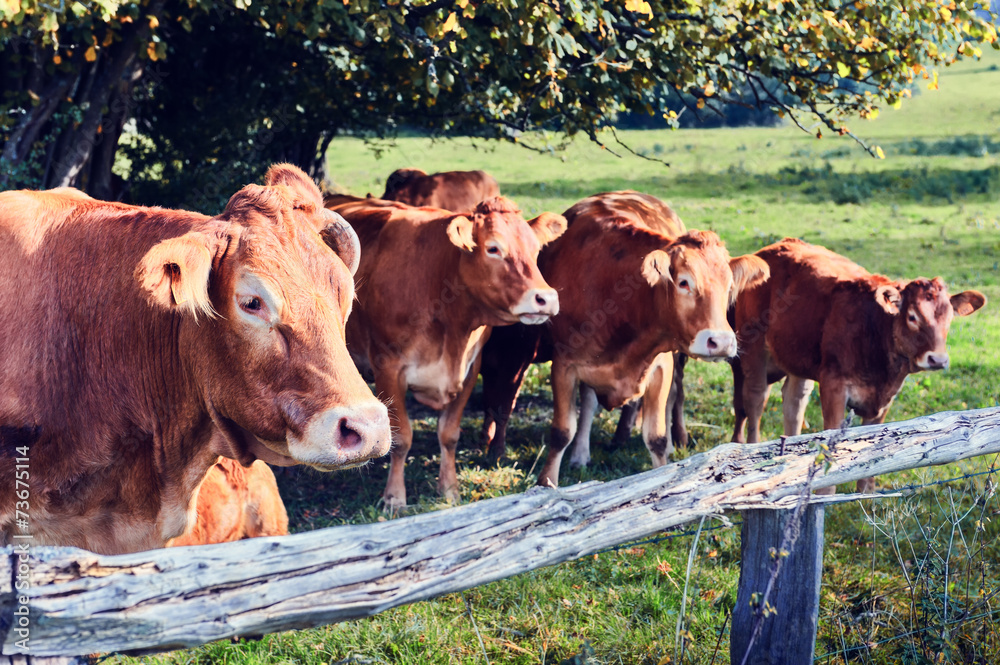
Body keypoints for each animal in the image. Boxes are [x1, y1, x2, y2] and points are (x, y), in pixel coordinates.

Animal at [326, 195, 568, 506]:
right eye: (493, 248)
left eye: (536, 249)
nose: (546, 298)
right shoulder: (388, 368)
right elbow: (402, 438)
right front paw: (394, 497)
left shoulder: (469, 369)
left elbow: (449, 434)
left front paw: (450, 490)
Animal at [480, 189, 768, 486]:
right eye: (684, 282)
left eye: (730, 286)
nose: (720, 342)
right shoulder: (564, 365)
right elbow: (562, 431)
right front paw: (547, 482)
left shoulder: (661, 365)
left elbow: (656, 437)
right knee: (589, 402)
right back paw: (581, 453)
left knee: (674, 396)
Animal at [732, 236, 988, 490]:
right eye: (912, 316)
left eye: (949, 317)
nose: (938, 359)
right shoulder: (833, 387)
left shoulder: (883, 401)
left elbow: (869, 462)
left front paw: (864, 497)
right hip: (753, 347)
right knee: (755, 399)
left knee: (794, 402)